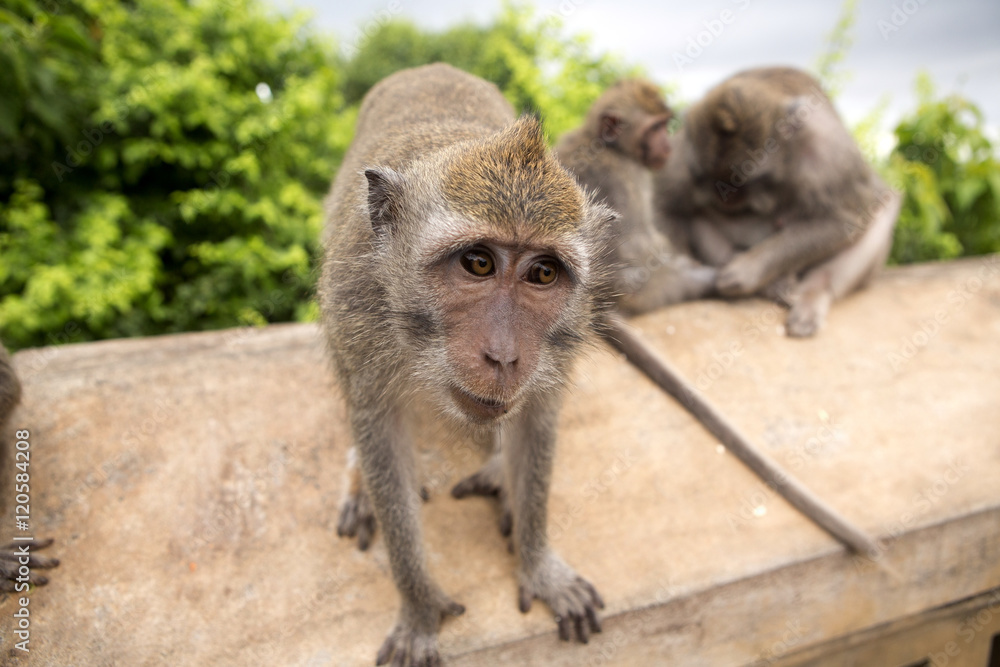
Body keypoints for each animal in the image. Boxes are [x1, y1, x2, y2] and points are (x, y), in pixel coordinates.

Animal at [320, 63, 613, 666]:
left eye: (543, 274)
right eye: (478, 263)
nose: (503, 354)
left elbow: (536, 422)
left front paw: (539, 564)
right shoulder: (352, 302)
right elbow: (377, 429)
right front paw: (420, 608)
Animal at [554, 79, 717, 316]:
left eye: (665, 124)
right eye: (654, 128)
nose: (667, 146)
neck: (609, 146)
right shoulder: (629, 174)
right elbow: (639, 242)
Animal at [657, 66, 901, 337]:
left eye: (742, 181)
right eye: (710, 178)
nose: (725, 197)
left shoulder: (828, 154)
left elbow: (846, 218)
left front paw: (749, 270)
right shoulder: (684, 156)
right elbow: (665, 204)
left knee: (881, 212)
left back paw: (813, 292)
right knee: (695, 213)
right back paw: (762, 280)